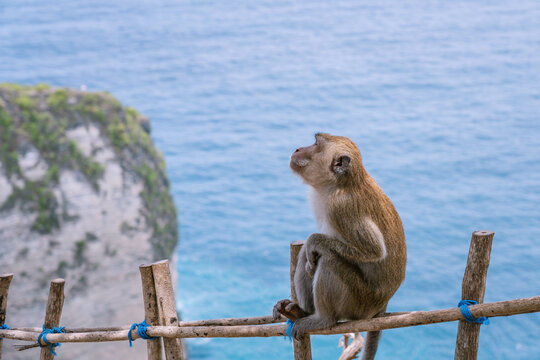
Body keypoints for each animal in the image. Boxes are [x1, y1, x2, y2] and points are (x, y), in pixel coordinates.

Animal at [274, 132, 404, 360]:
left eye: (315, 143)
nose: (298, 148)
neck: (336, 185)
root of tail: (381, 307)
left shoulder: (341, 207)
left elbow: (374, 251)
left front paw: (313, 240)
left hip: (358, 303)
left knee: (328, 260)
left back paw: (322, 318)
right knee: (307, 256)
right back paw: (302, 311)